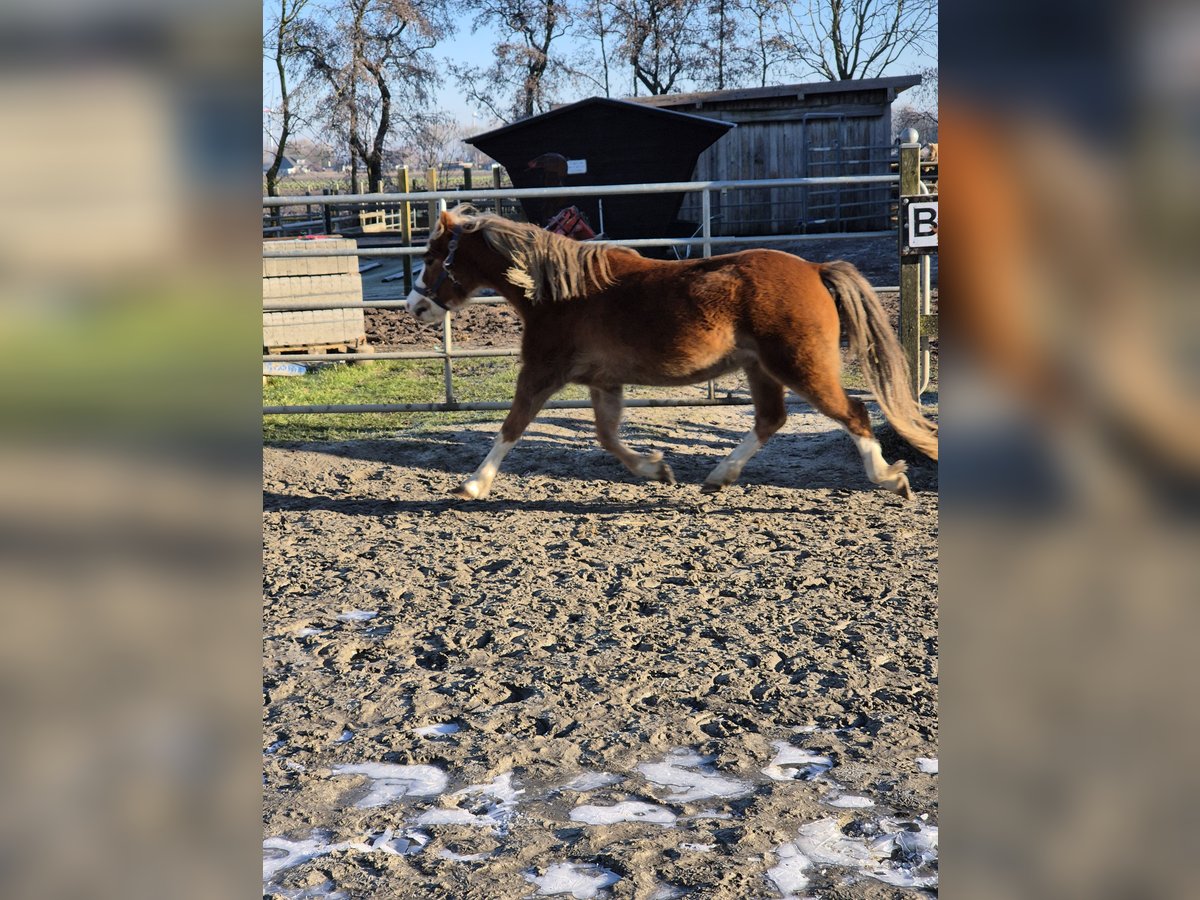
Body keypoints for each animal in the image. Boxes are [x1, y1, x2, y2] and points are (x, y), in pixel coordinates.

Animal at [410, 208, 936, 504]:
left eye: (433, 258)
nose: (415, 306)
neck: (558, 292)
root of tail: (814, 266)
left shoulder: (541, 372)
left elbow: (512, 426)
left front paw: (473, 485)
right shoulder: (603, 382)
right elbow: (606, 437)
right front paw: (655, 469)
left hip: (800, 367)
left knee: (855, 412)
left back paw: (890, 478)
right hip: (761, 369)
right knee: (771, 420)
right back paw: (719, 476)